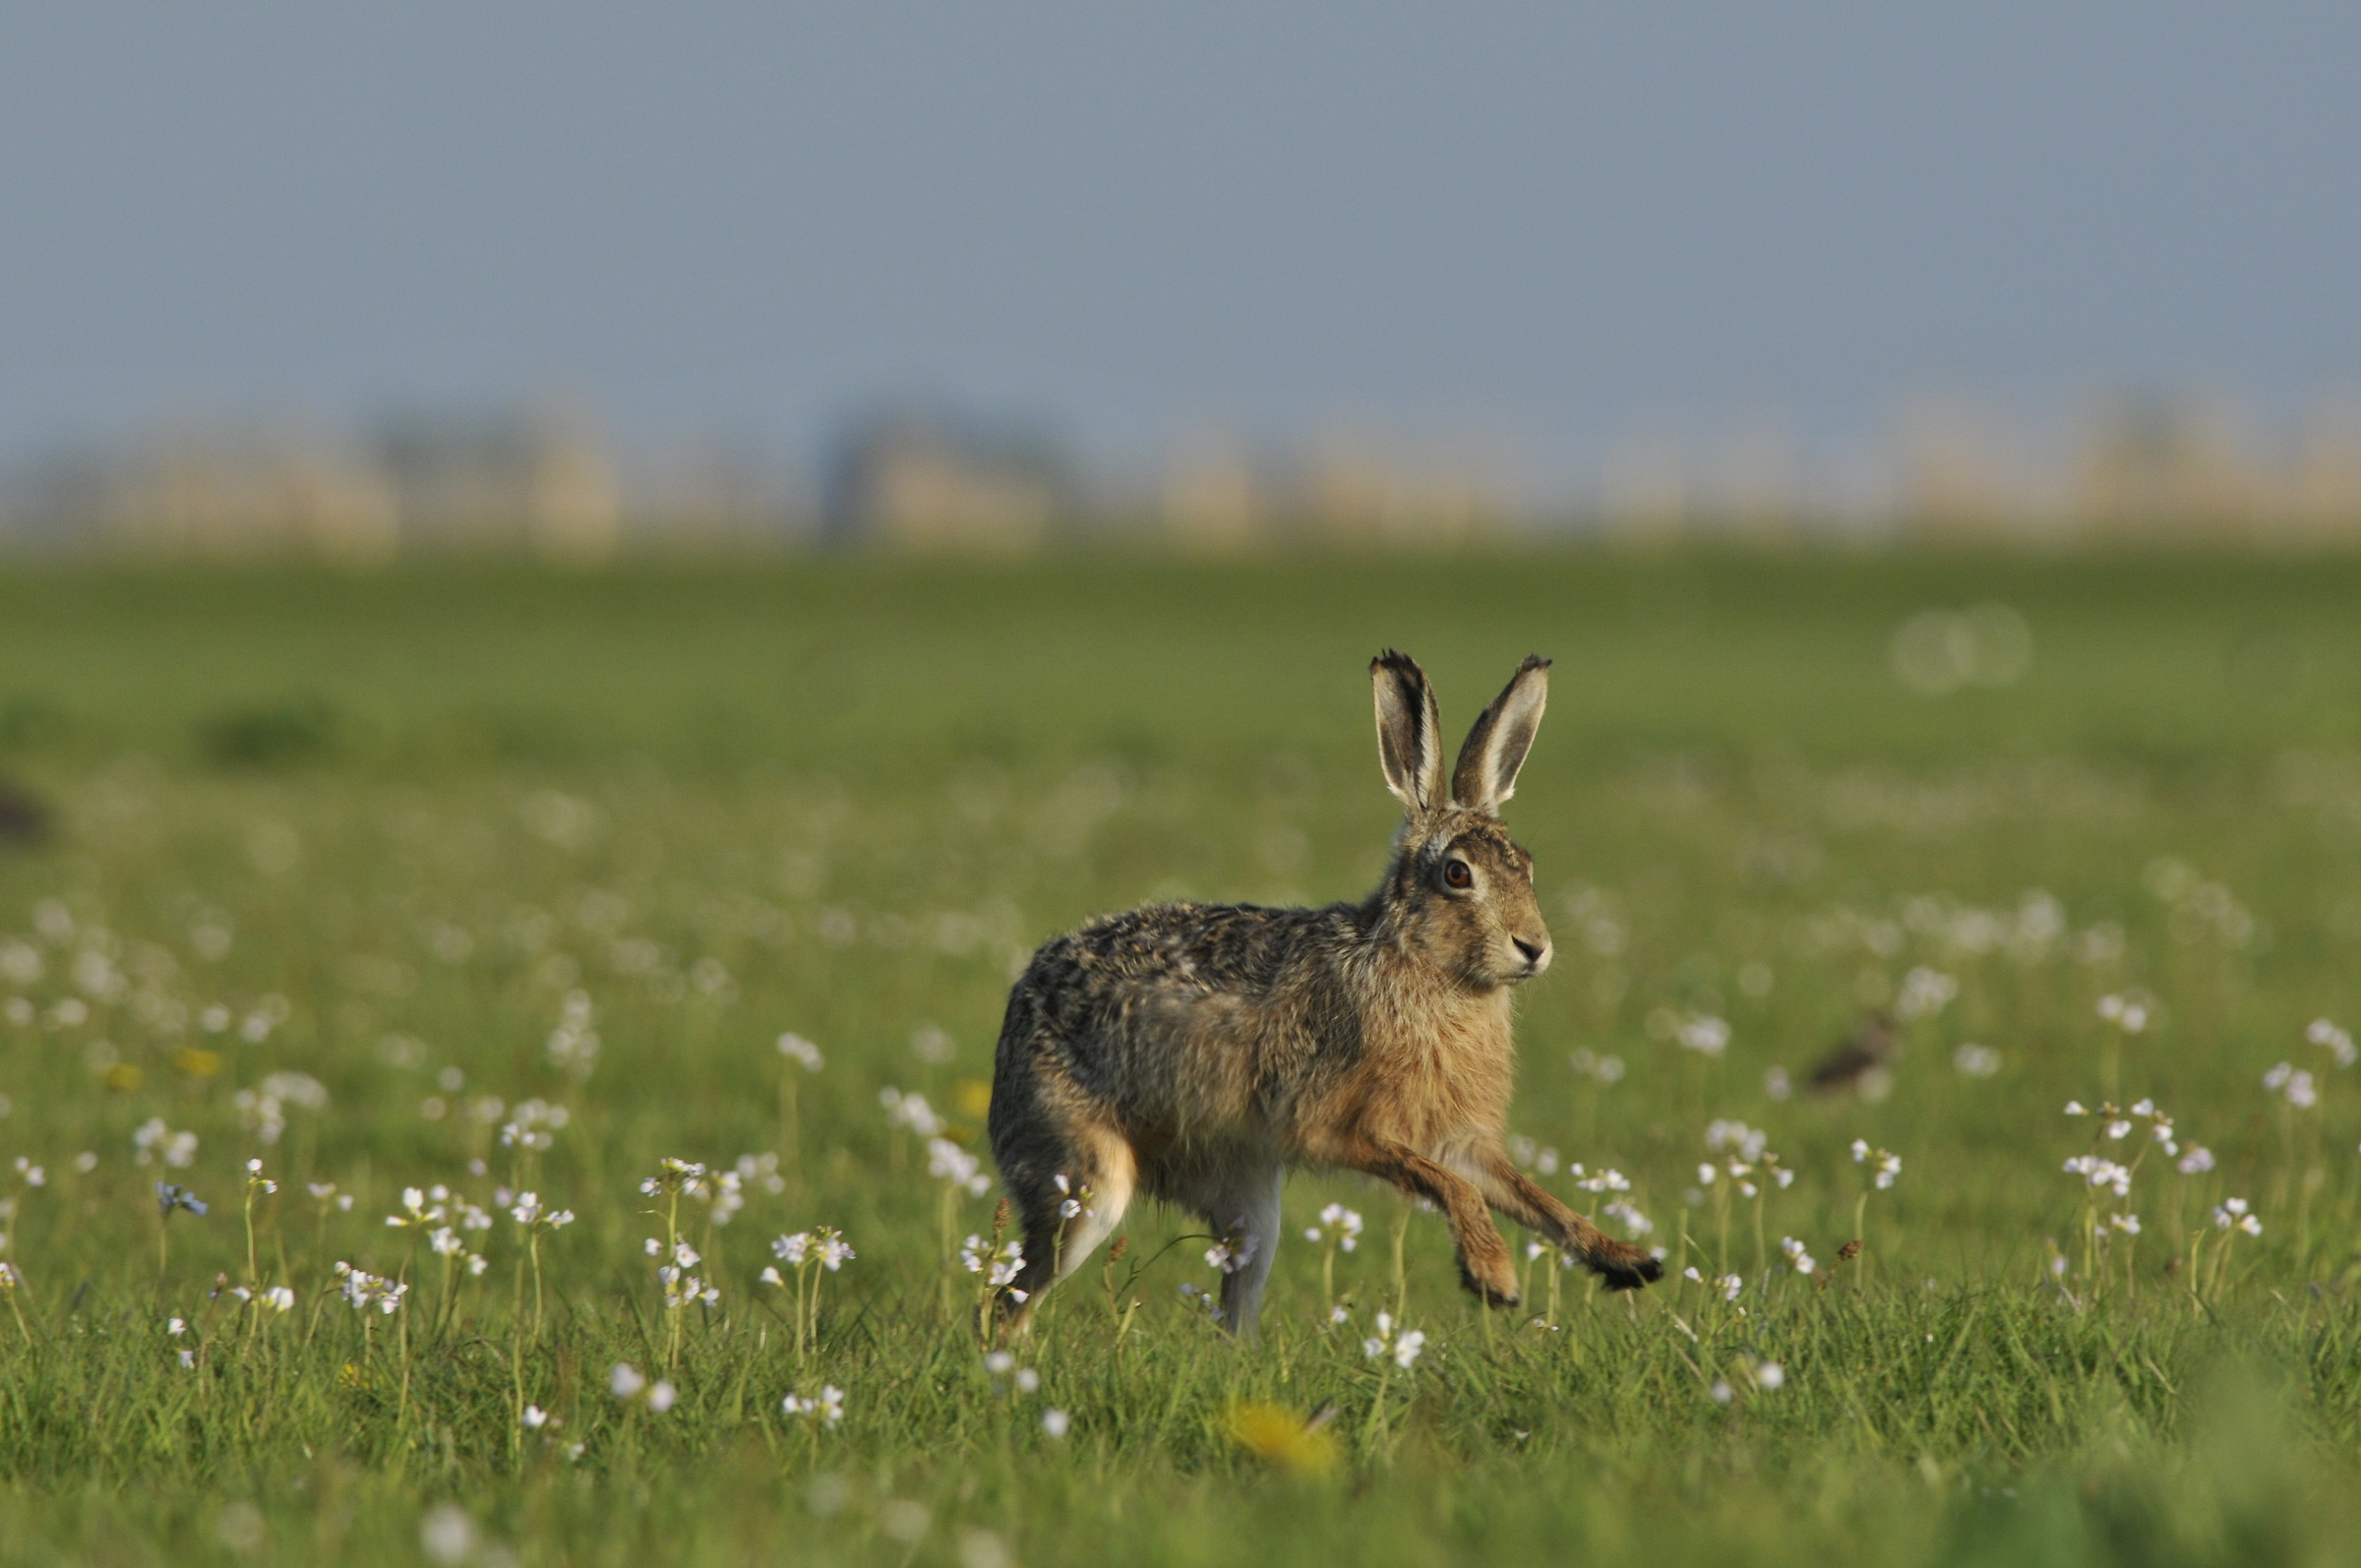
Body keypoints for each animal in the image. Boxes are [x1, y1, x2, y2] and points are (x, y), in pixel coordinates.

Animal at [987, 650, 1661, 1336]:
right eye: (1457, 874)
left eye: (1526, 865)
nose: (1534, 947)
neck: (1421, 966)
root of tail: (1019, 1005)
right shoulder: (1335, 1126)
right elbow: (1453, 1186)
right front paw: (1494, 1278)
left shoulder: (1457, 1137)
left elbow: (1530, 1195)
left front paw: (1628, 1261)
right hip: (1086, 1180)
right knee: (1007, 1299)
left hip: (1250, 1205)